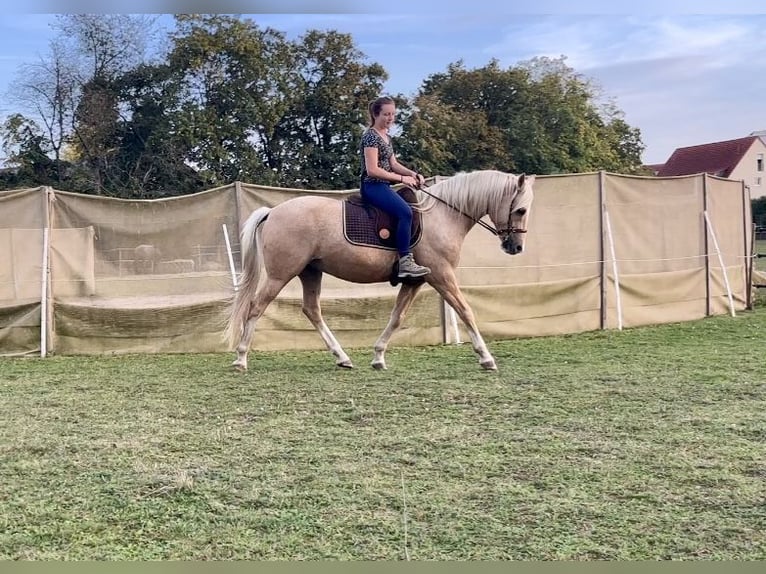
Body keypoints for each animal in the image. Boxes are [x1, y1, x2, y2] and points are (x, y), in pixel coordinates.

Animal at [225, 169, 536, 372]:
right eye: (520, 210)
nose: (517, 247)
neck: (443, 216)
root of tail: (273, 211)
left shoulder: (416, 281)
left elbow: (397, 317)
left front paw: (378, 357)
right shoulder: (442, 275)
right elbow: (465, 310)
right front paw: (486, 358)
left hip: (310, 272)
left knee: (312, 310)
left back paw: (342, 357)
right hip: (281, 274)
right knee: (255, 307)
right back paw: (241, 359)